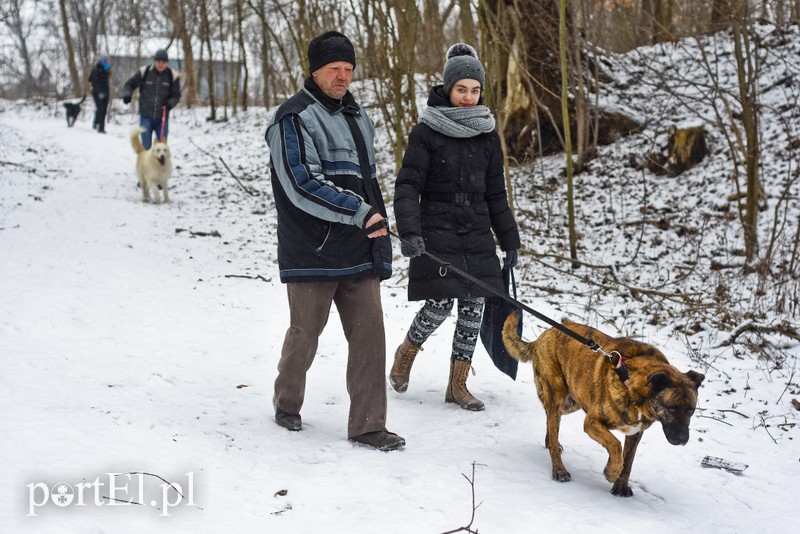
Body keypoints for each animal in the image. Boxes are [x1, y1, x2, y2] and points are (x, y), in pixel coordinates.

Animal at [504, 312, 704, 500]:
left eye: (691, 411)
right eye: (671, 409)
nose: (683, 440)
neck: (630, 385)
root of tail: (543, 335)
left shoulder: (635, 432)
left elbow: (628, 460)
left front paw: (620, 486)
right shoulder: (592, 422)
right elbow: (615, 445)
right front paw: (611, 471)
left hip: (571, 402)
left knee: (551, 422)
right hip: (557, 394)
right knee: (553, 429)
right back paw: (559, 469)